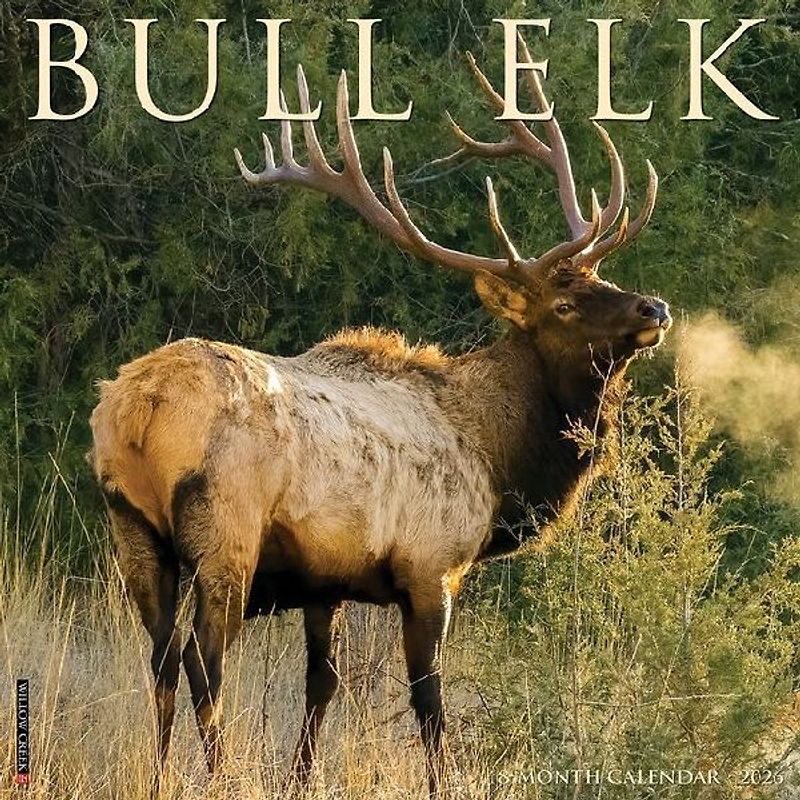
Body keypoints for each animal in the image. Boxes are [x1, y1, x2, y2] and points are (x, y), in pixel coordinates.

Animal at [89, 36, 671, 798]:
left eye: (604, 278)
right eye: (565, 304)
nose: (654, 307)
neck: (499, 458)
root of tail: (138, 409)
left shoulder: (324, 580)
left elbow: (323, 684)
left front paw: (300, 778)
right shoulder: (432, 565)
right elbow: (429, 700)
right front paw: (442, 780)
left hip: (132, 528)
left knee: (158, 660)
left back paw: (159, 778)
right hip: (226, 530)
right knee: (202, 663)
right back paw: (216, 776)